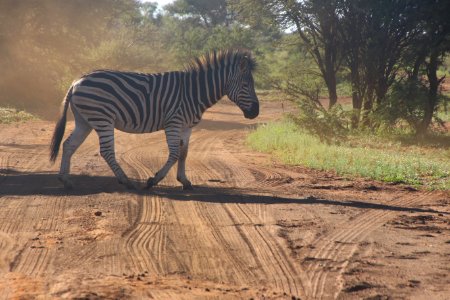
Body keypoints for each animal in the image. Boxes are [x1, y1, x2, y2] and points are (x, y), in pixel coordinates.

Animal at [49, 49, 258, 190]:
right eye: (246, 85)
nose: (255, 112)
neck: (193, 91)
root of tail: (76, 82)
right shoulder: (173, 122)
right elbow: (174, 153)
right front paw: (154, 180)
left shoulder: (187, 127)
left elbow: (184, 153)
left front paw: (185, 181)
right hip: (103, 118)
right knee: (106, 151)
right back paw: (126, 181)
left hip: (84, 120)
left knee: (68, 144)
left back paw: (65, 180)